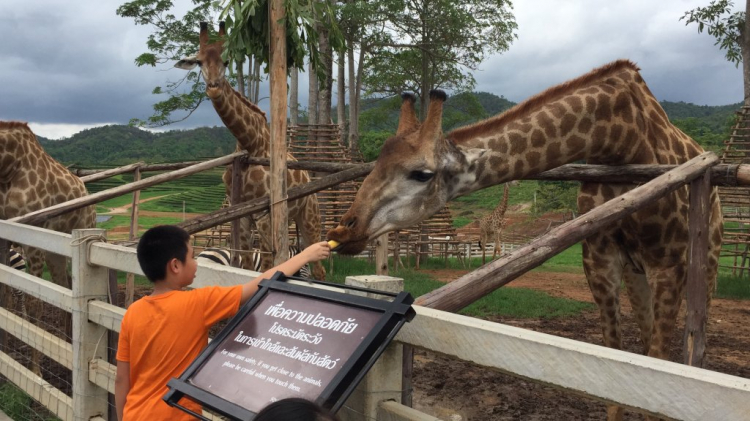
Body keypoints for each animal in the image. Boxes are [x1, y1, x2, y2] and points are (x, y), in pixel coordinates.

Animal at [0, 120, 97, 372]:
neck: (8, 169)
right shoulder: (4, 237)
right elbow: (5, 294)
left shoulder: (32, 238)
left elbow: (34, 303)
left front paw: (35, 370)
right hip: (55, 252)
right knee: (64, 286)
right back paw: (63, 347)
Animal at [178, 22, 328, 278]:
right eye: (198, 61)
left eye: (226, 60)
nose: (214, 88)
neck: (249, 142)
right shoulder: (243, 215)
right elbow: (247, 265)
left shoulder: (264, 213)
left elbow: (266, 265)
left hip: (310, 215)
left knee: (319, 268)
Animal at [328, 60, 724, 420]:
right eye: (377, 163)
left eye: (421, 173)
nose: (343, 231)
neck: (621, 140)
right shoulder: (600, 260)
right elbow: (618, 372)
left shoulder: (668, 264)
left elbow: (659, 368)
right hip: (636, 273)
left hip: (704, 262)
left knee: (692, 348)